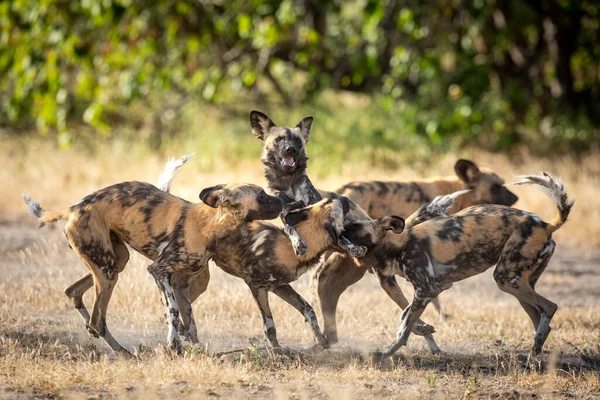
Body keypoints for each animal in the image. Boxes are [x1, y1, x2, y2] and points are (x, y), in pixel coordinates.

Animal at [22, 174, 282, 354]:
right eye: (261, 196)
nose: (280, 199)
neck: (212, 225)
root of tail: (74, 208)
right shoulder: (159, 271)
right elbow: (174, 313)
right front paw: (174, 347)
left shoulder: (179, 283)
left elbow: (190, 323)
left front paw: (194, 350)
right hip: (107, 272)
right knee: (97, 321)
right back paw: (124, 353)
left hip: (115, 263)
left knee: (75, 293)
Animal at [250, 111, 366, 258]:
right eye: (278, 139)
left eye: (298, 141)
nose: (290, 149)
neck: (289, 181)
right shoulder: (285, 214)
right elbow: (290, 228)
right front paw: (298, 243)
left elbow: (341, 236)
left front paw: (353, 247)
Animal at [342, 172, 572, 360]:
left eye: (355, 226)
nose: (340, 226)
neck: (397, 245)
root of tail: (546, 225)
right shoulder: (439, 287)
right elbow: (406, 315)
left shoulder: (425, 290)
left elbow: (404, 327)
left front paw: (387, 352)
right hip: (519, 284)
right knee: (539, 316)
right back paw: (534, 353)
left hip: (506, 278)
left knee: (550, 307)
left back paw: (534, 351)